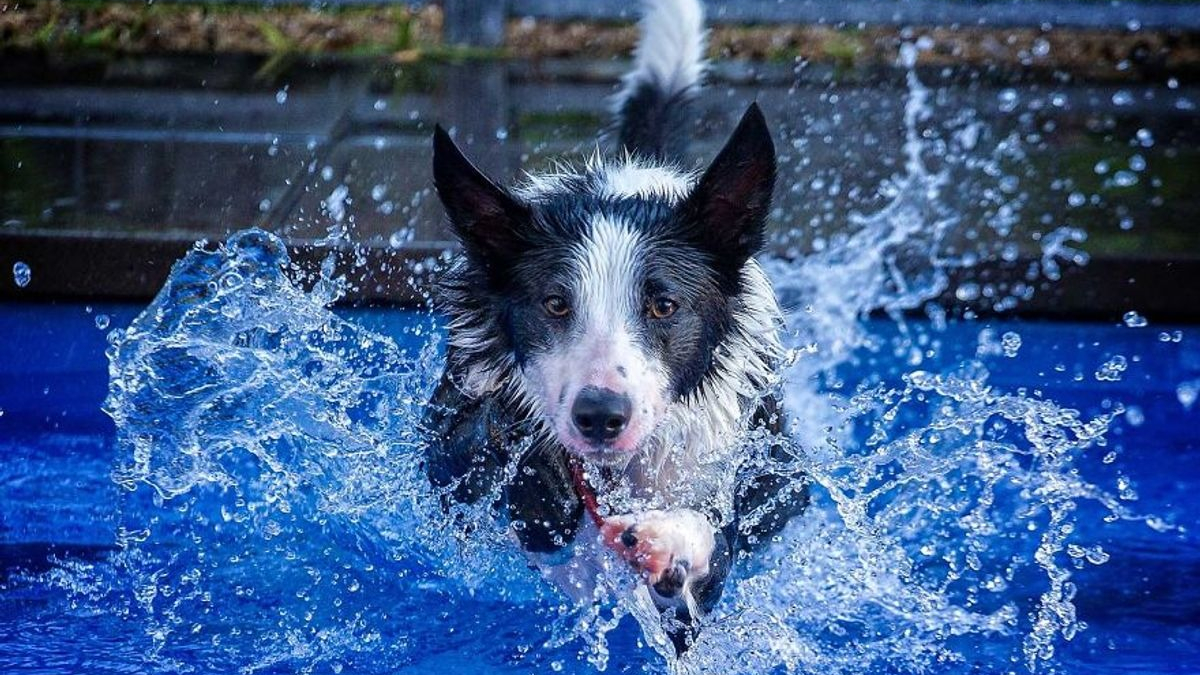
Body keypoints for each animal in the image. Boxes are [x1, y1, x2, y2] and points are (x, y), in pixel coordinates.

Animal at [422, 0, 806, 653]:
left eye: (664, 305)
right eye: (555, 303)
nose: (600, 415)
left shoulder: (754, 475)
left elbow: (711, 543)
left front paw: (669, 544)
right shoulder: (457, 438)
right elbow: (489, 469)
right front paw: (542, 483)